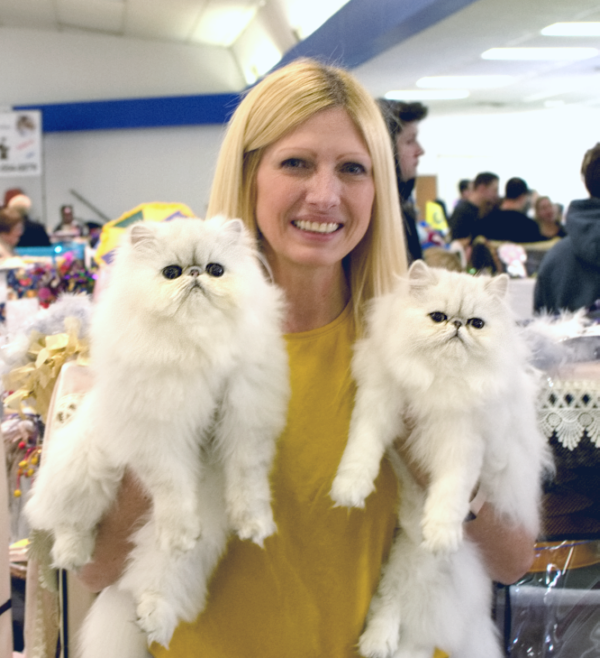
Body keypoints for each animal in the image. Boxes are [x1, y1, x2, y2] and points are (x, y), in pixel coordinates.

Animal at [24, 217, 292, 656]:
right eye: (171, 273)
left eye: (216, 269)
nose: (195, 274)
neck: (196, 345)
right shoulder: (158, 436)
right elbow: (172, 490)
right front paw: (182, 526)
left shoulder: (246, 422)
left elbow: (247, 483)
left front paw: (253, 526)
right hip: (82, 476)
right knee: (67, 522)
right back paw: (73, 554)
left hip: (174, 557)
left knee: (157, 586)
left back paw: (153, 617)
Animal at [330, 258, 552, 656]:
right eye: (437, 317)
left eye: (477, 324)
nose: (457, 325)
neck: (439, 381)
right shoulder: (379, 404)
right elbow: (361, 449)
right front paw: (349, 490)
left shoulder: (462, 444)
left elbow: (450, 493)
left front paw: (442, 533)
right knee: (390, 602)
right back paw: (376, 642)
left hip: (420, 563)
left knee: (413, 625)